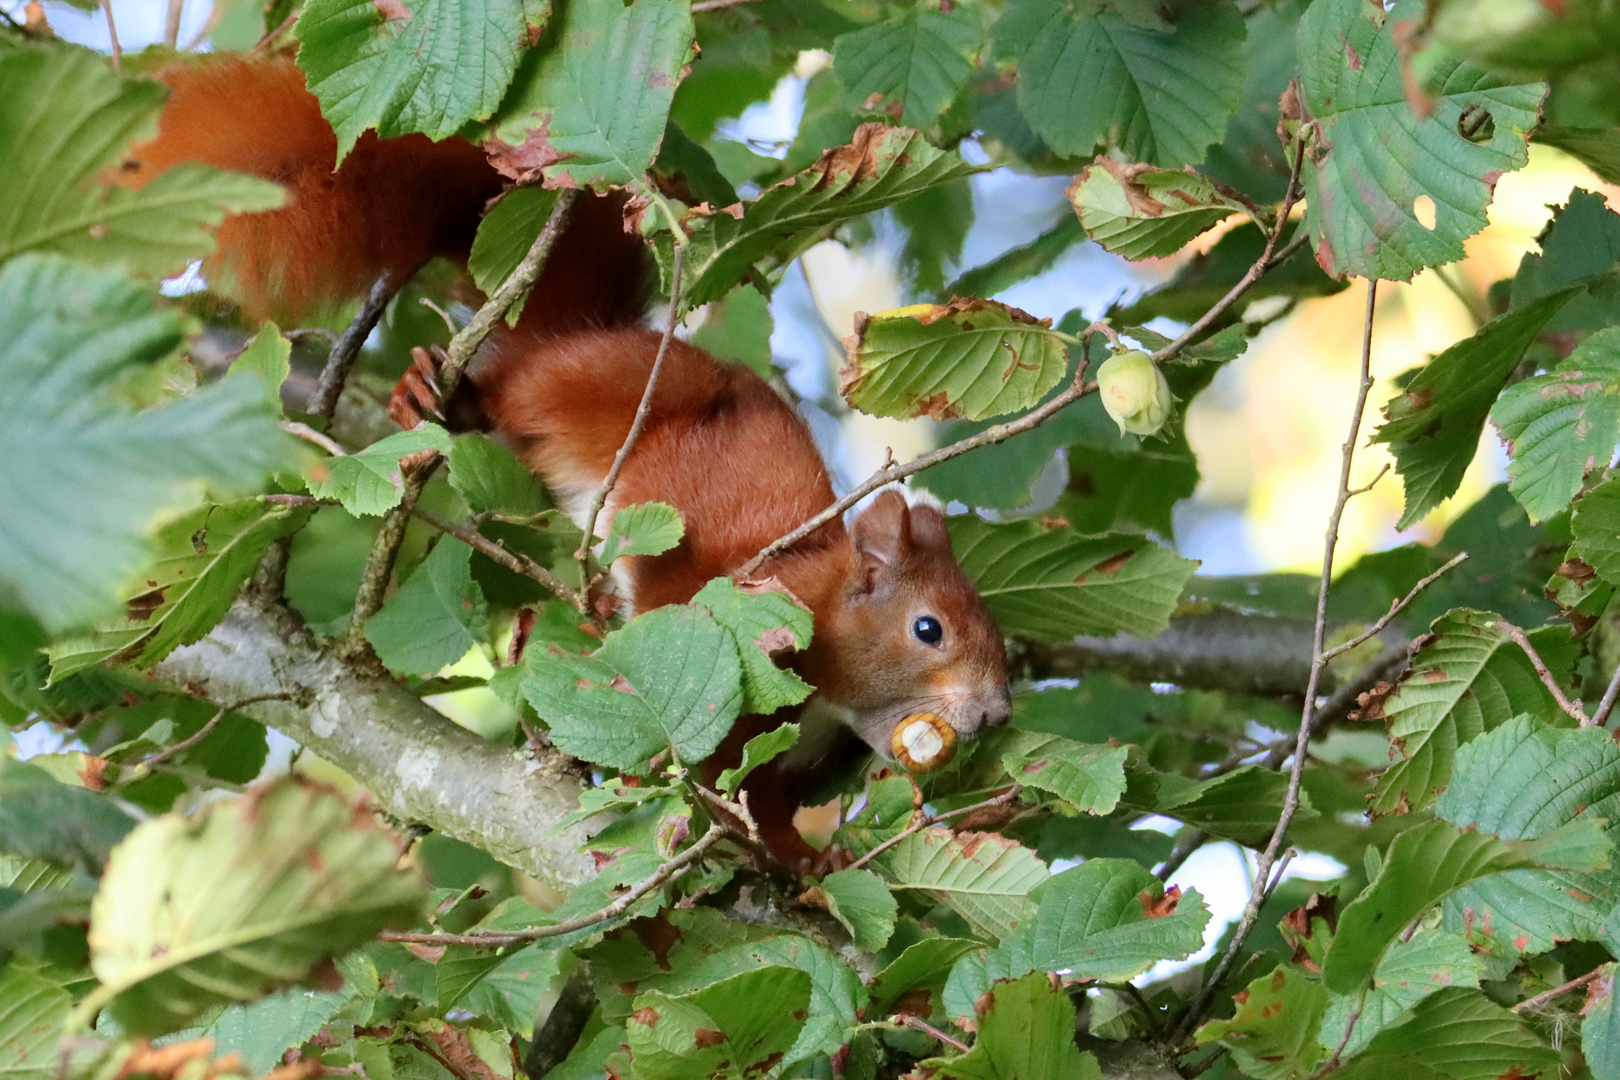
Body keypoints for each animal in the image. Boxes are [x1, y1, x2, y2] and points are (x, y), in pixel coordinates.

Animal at [129, 55, 1010, 867]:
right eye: (927, 628)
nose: (998, 712)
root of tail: (580, 332)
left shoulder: (799, 756)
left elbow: (769, 800)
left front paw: (807, 861)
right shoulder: (730, 627)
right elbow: (708, 751)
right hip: (585, 388)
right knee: (517, 385)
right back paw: (435, 397)